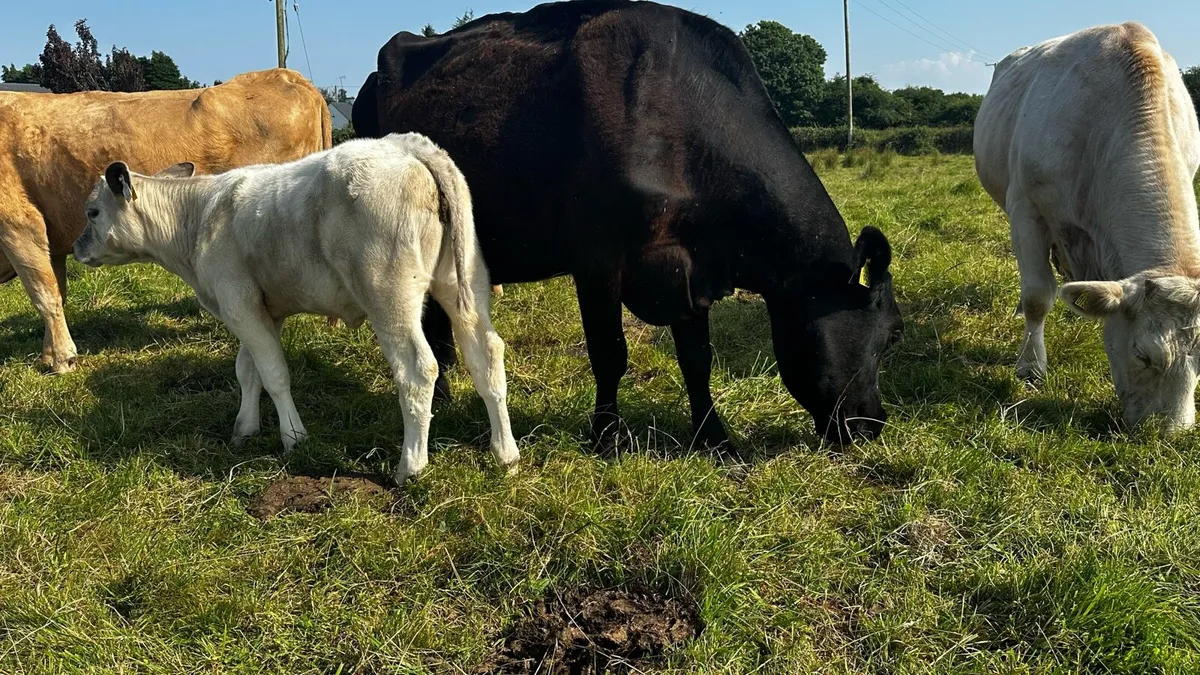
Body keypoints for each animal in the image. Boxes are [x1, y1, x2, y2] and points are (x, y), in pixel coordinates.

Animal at [0, 69, 330, 374]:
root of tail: (289, 76)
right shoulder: (50, 239)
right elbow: (58, 291)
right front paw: (49, 353)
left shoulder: (19, 225)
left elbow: (45, 295)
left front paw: (62, 359)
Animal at [72, 133, 520, 482]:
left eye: (92, 212)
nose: (76, 248)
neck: (198, 217)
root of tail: (408, 146)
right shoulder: (260, 309)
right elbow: (247, 370)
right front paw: (245, 429)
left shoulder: (237, 301)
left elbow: (273, 374)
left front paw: (293, 438)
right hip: (463, 282)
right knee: (486, 354)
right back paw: (505, 452)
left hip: (389, 293)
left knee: (417, 369)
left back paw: (410, 466)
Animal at [353, 0, 903, 450]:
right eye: (894, 333)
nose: (873, 424)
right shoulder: (597, 259)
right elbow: (609, 352)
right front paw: (607, 436)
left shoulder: (691, 268)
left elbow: (697, 358)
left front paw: (713, 437)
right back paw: (440, 396)